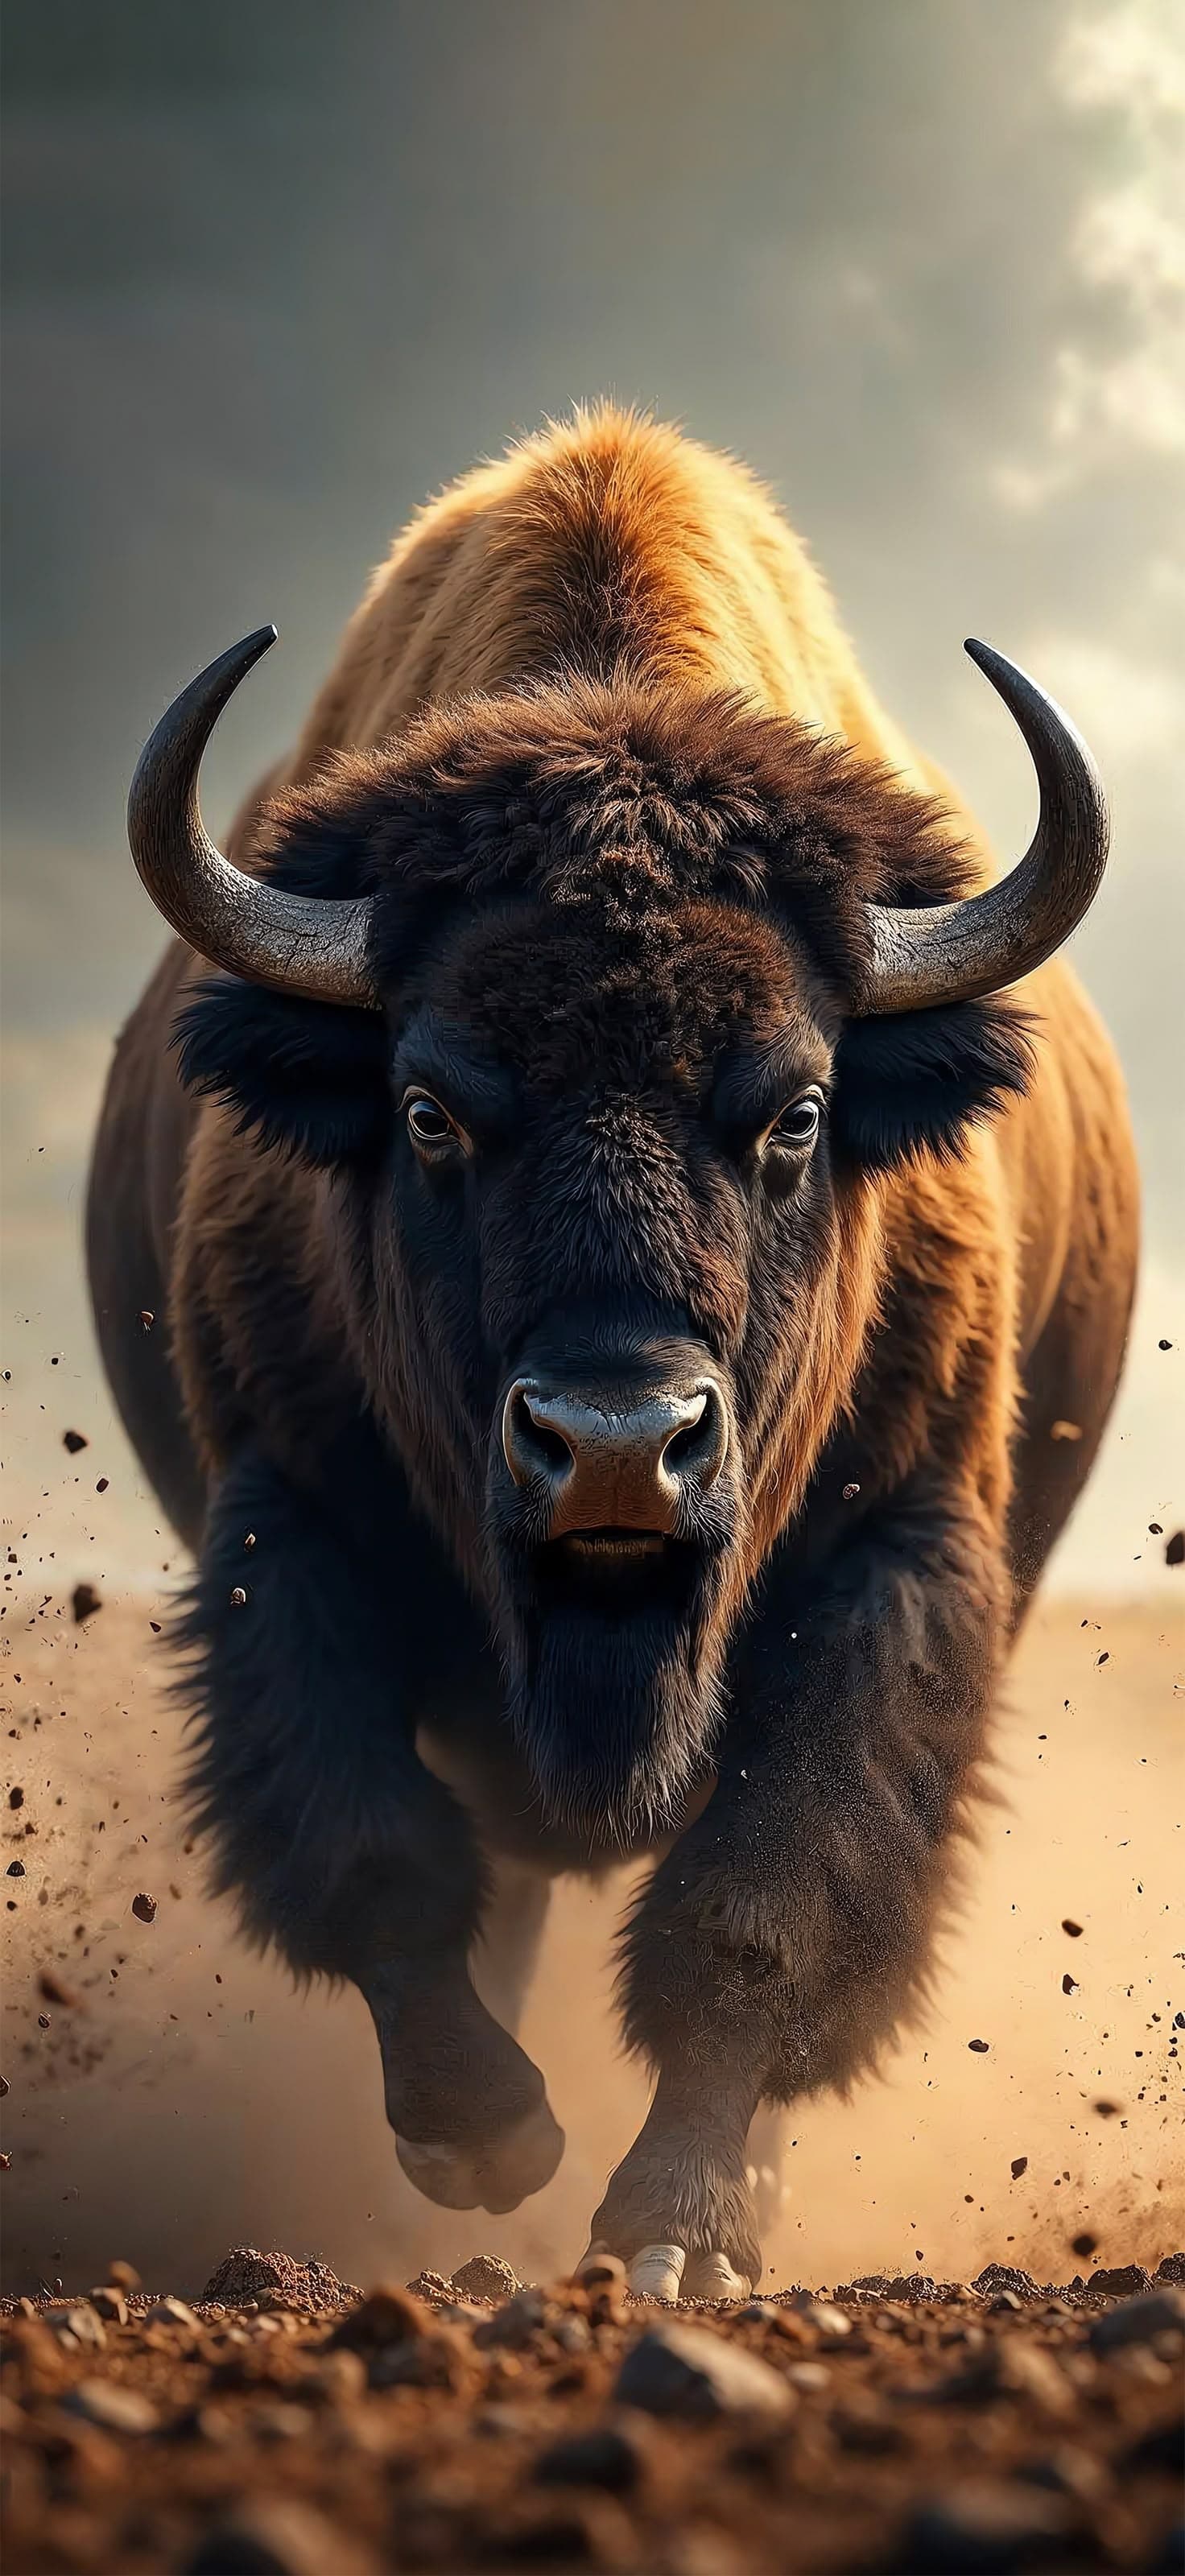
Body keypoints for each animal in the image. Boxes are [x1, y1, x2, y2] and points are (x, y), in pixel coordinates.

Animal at [88, 408, 1138, 2296]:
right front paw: (485, 2140)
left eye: (795, 1111)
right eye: (427, 1109)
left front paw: (678, 2237)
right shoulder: (288, 1526)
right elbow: (378, 1853)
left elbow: (769, 1899)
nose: (614, 1445)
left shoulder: (897, 1548)